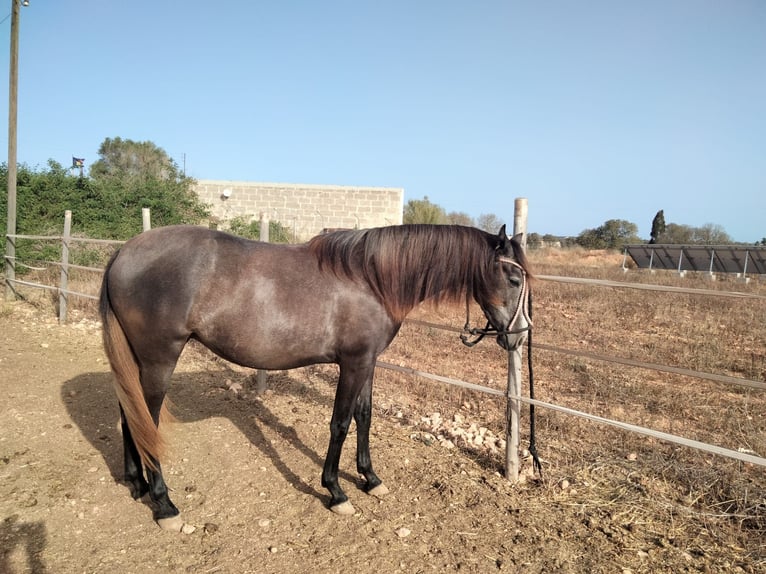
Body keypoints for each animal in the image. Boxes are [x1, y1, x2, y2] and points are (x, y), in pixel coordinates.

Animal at [99, 223, 536, 528]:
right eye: (514, 279)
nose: (519, 336)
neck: (372, 279)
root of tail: (124, 252)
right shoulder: (353, 363)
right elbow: (340, 423)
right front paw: (336, 491)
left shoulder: (368, 362)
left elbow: (364, 417)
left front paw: (370, 478)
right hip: (160, 358)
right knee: (147, 419)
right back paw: (164, 504)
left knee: (129, 412)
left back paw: (137, 484)